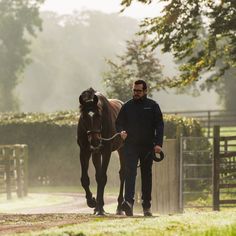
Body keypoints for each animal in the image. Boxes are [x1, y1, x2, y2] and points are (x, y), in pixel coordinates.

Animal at [77, 87, 125, 215]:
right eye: (84, 117)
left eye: (99, 115)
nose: (95, 140)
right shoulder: (84, 151)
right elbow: (85, 179)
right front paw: (92, 202)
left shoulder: (106, 151)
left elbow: (103, 178)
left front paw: (97, 205)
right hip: (96, 154)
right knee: (98, 175)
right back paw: (98, 207)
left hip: (122, 149)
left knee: (122, 174)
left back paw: (119, 207)